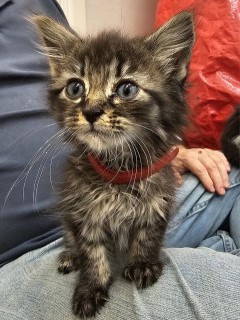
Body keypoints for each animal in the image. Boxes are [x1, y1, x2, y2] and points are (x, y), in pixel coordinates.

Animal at [34, 11, 195, 318]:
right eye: (75, 88)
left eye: (126, 89)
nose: (91, 111)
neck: (118, 169)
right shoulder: (82, 210)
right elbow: (91, 251)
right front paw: (91, 287)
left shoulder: (158, 201)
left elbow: (148, 235)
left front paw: (143, 264)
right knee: (70, 237)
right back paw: (70, 256)